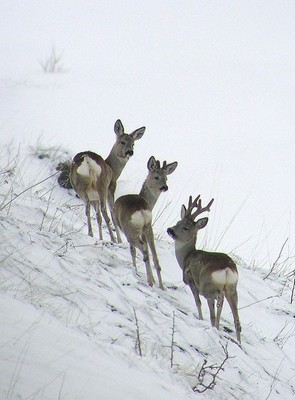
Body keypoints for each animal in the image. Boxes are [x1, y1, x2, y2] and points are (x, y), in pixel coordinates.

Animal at [113, 155, 178, 290]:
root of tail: (140, 210)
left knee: (143, 249)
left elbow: (132, 251)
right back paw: (161, 285)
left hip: (130, 231)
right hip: (148, 227)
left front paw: (135, 269)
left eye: (166, 178)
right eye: (157, 177)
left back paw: (149, 281)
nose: (165, 187)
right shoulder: (145, 230)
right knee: (153, 254)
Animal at [168, 195, 242, 342]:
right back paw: (237, 341)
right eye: (178, 221)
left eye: (186, 228)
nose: (170, 230)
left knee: (214, 311)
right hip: (232, 288)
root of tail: (227, 268)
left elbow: (198, 302)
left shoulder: (191, 280)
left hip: (209, 287)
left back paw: (214, 327)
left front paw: (200, 319)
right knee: (236, 319)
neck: (186, 257)